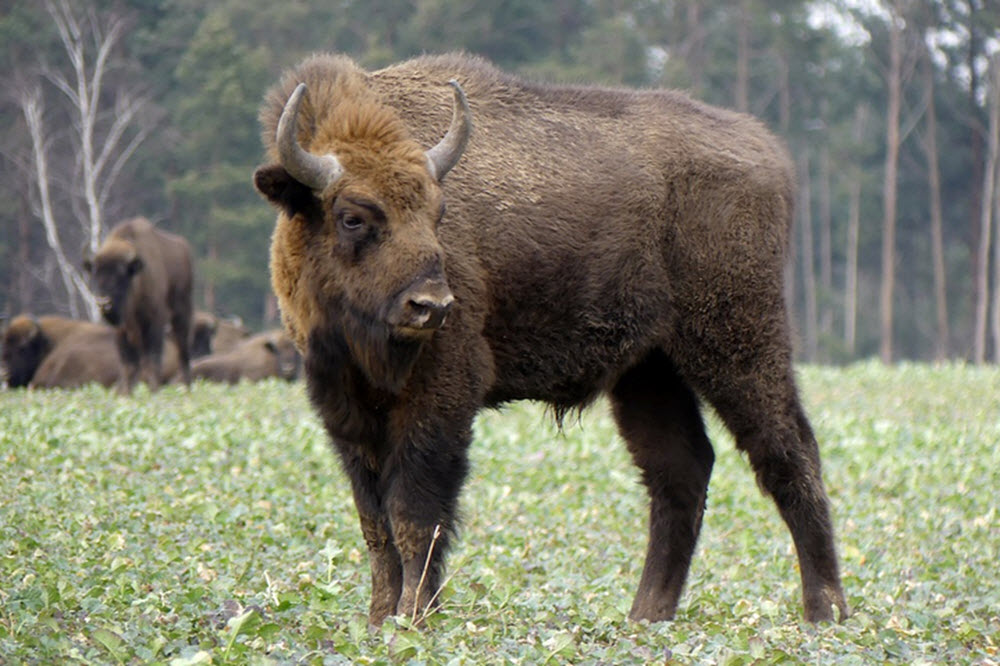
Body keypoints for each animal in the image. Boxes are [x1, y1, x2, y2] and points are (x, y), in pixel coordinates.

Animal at [84, 215, 193, 392]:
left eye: (120, 275)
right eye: (95, 274)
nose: (103, 302)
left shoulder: (155, 322)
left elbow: (152, 361)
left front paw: (154, 391)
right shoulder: (122, 331)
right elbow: (129, 366)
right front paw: (127, 394)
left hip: (182, 314)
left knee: (183, 352)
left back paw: (187, 389)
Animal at [254, 52, 848, 624]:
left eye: (438, 212)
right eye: (352, 217)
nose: (432, 305)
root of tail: (766, 151)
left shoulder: (440, 399)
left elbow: (413, 516)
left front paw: (413, 619)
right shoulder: (347, 412)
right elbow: (374, 523)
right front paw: (379, 620)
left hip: (738, 343)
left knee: (789, 453)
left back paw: (825, 612)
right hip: (649, 372)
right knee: (681, 470)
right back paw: (646, 616)